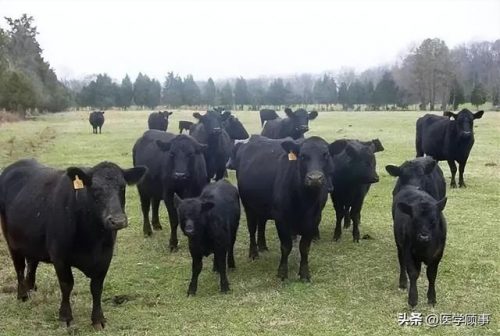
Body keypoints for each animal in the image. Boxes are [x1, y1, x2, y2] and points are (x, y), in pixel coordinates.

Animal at [0, 159, 147, 330]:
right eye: (95, 189)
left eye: (122, 187)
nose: (118, 221)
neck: (92, 238)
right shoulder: (59, 257)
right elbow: (67, 285)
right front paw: (65, 316)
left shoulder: (105, 257)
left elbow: (96, 287)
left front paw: (98, 319)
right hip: (11, 241)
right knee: (19, 267)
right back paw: (22, 294)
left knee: (32, 264)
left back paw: (30, 288)